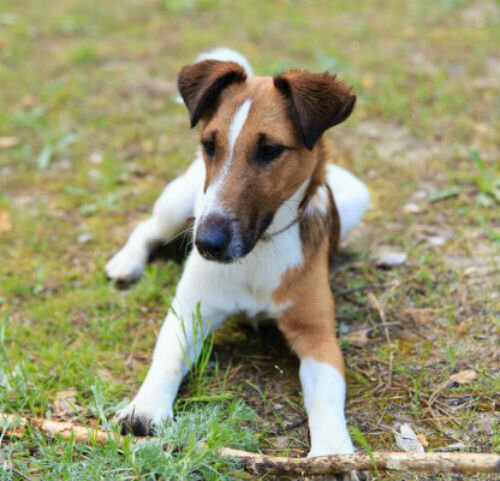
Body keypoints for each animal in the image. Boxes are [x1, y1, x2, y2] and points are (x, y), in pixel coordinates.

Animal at [107, 48, 370, 468]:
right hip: (178, 204)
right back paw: (126, 262)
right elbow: (167, 356)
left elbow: (327, 394)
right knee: (147, 227)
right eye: (209, 144)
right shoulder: (190, 309)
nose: (206, 243)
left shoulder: (317, 332)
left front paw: (332, 450)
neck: (258, 251)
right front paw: (144, 408)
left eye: (270, 150)